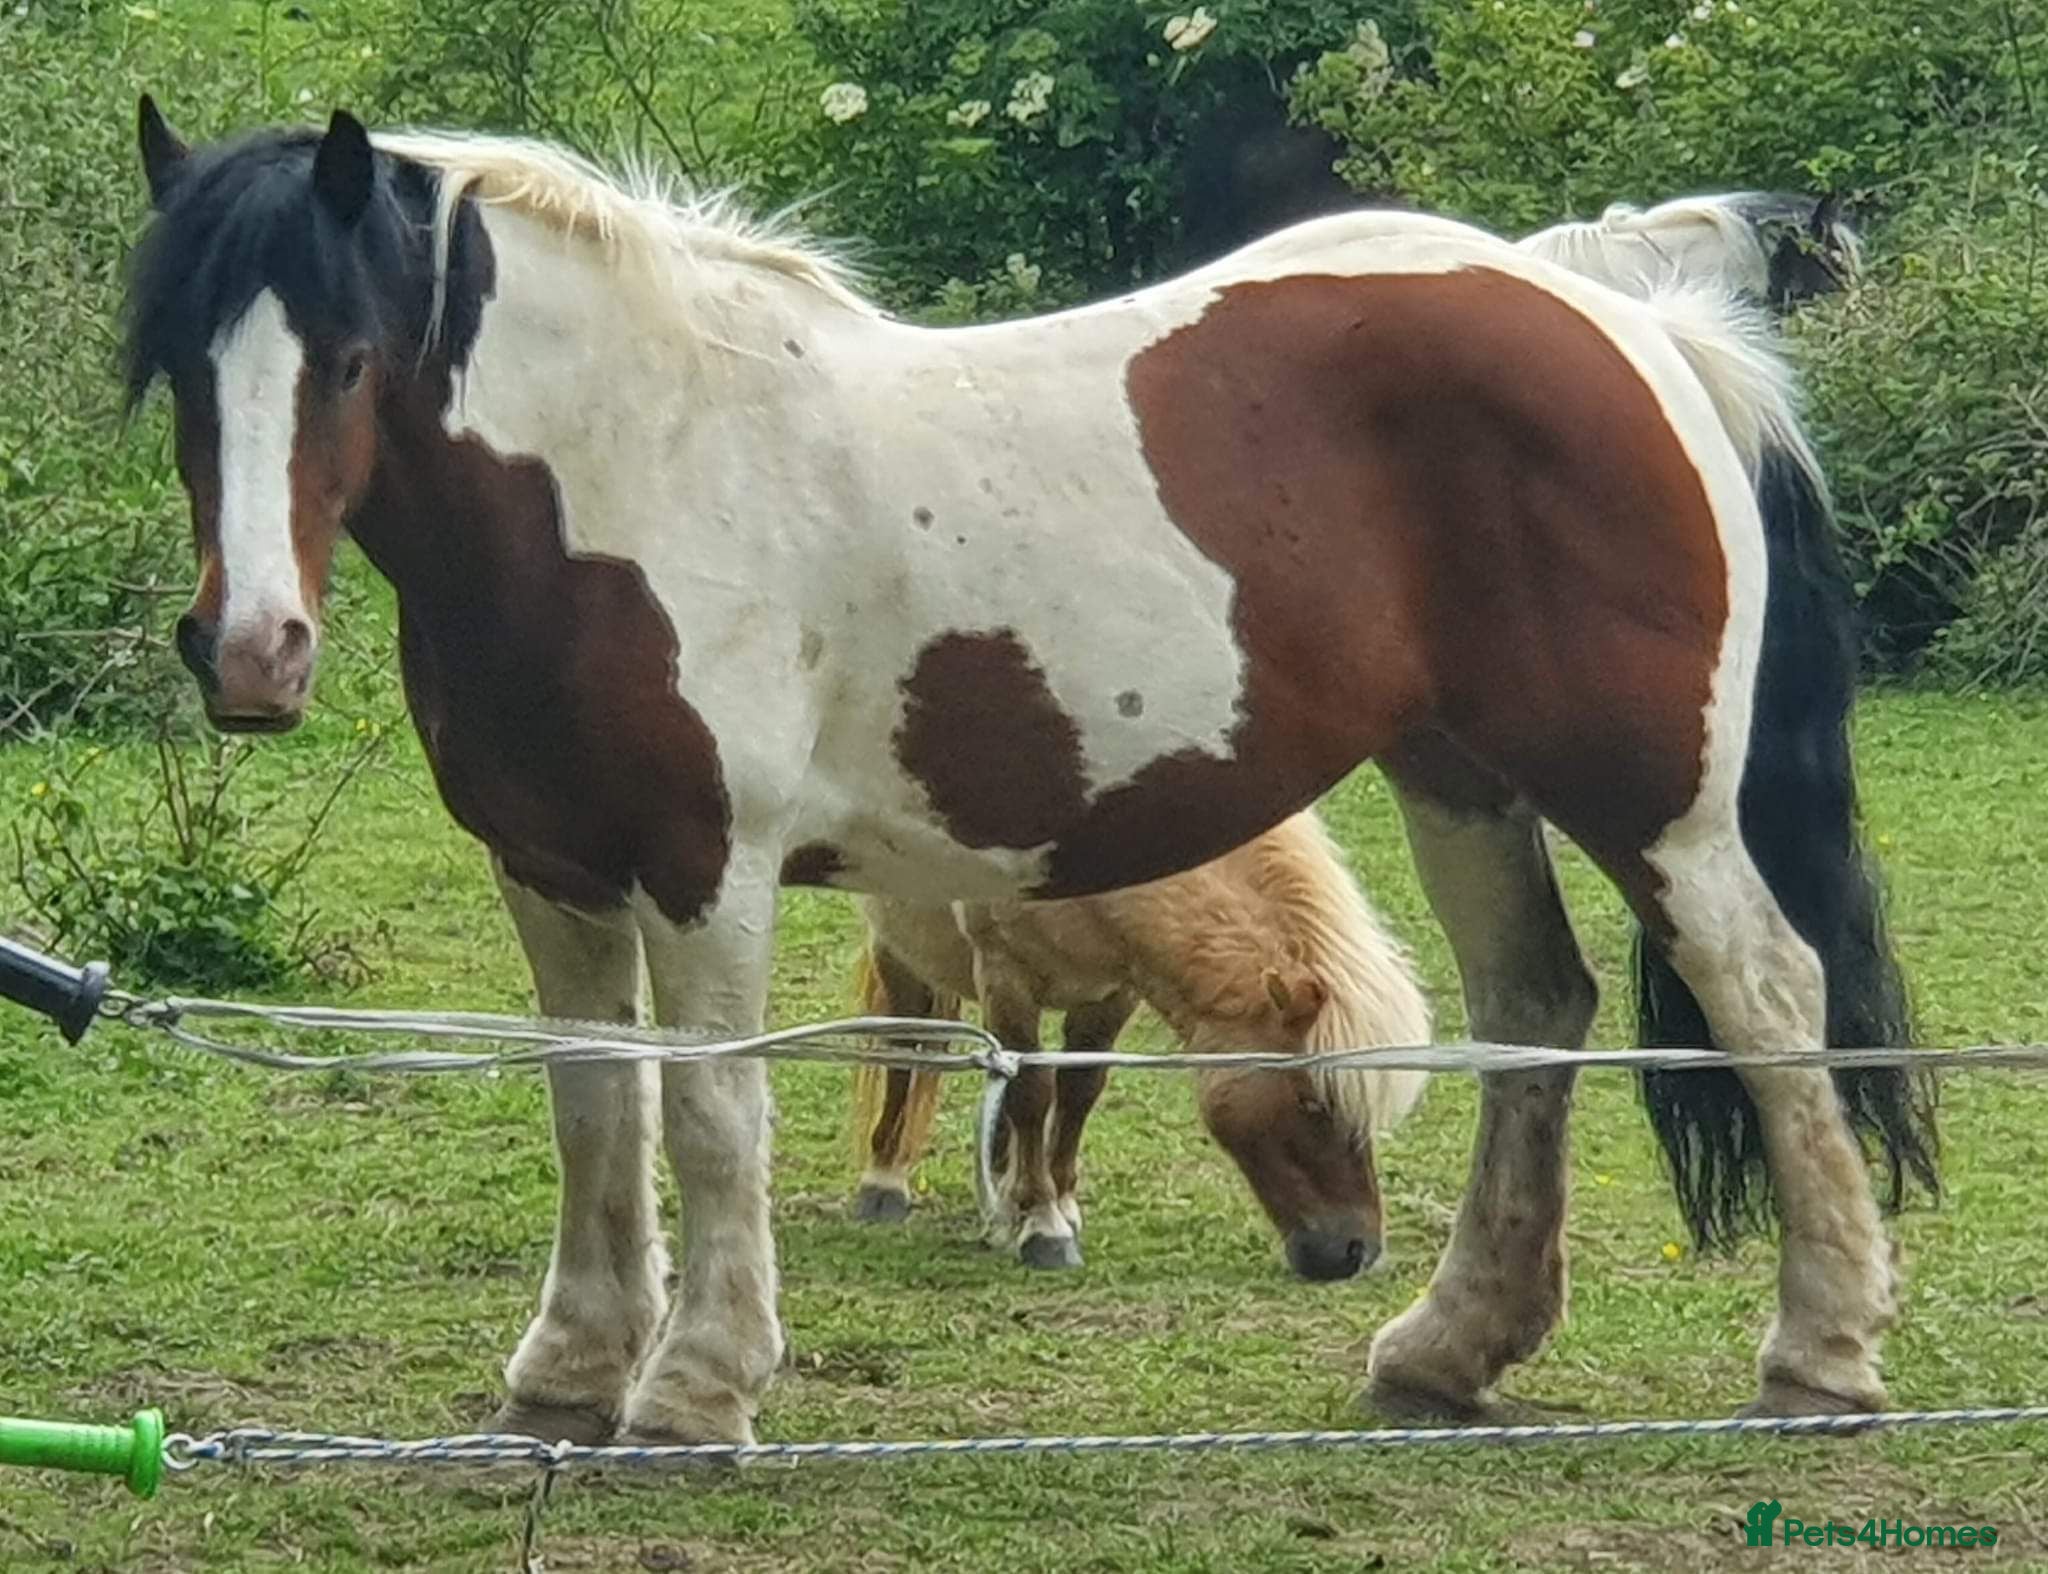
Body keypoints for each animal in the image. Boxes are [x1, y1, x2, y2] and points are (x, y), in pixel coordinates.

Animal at [847, 808, 1431, 1278]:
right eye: (1311, 1102)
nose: (1358, 1252)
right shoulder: (1005, 978)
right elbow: (1032, 1095)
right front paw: (1043, 1227)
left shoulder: (1115, 991)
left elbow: (1079, 1088)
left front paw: (1057, 1203)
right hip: (899, 950)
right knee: (906, 1048)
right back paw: (885, 1181)